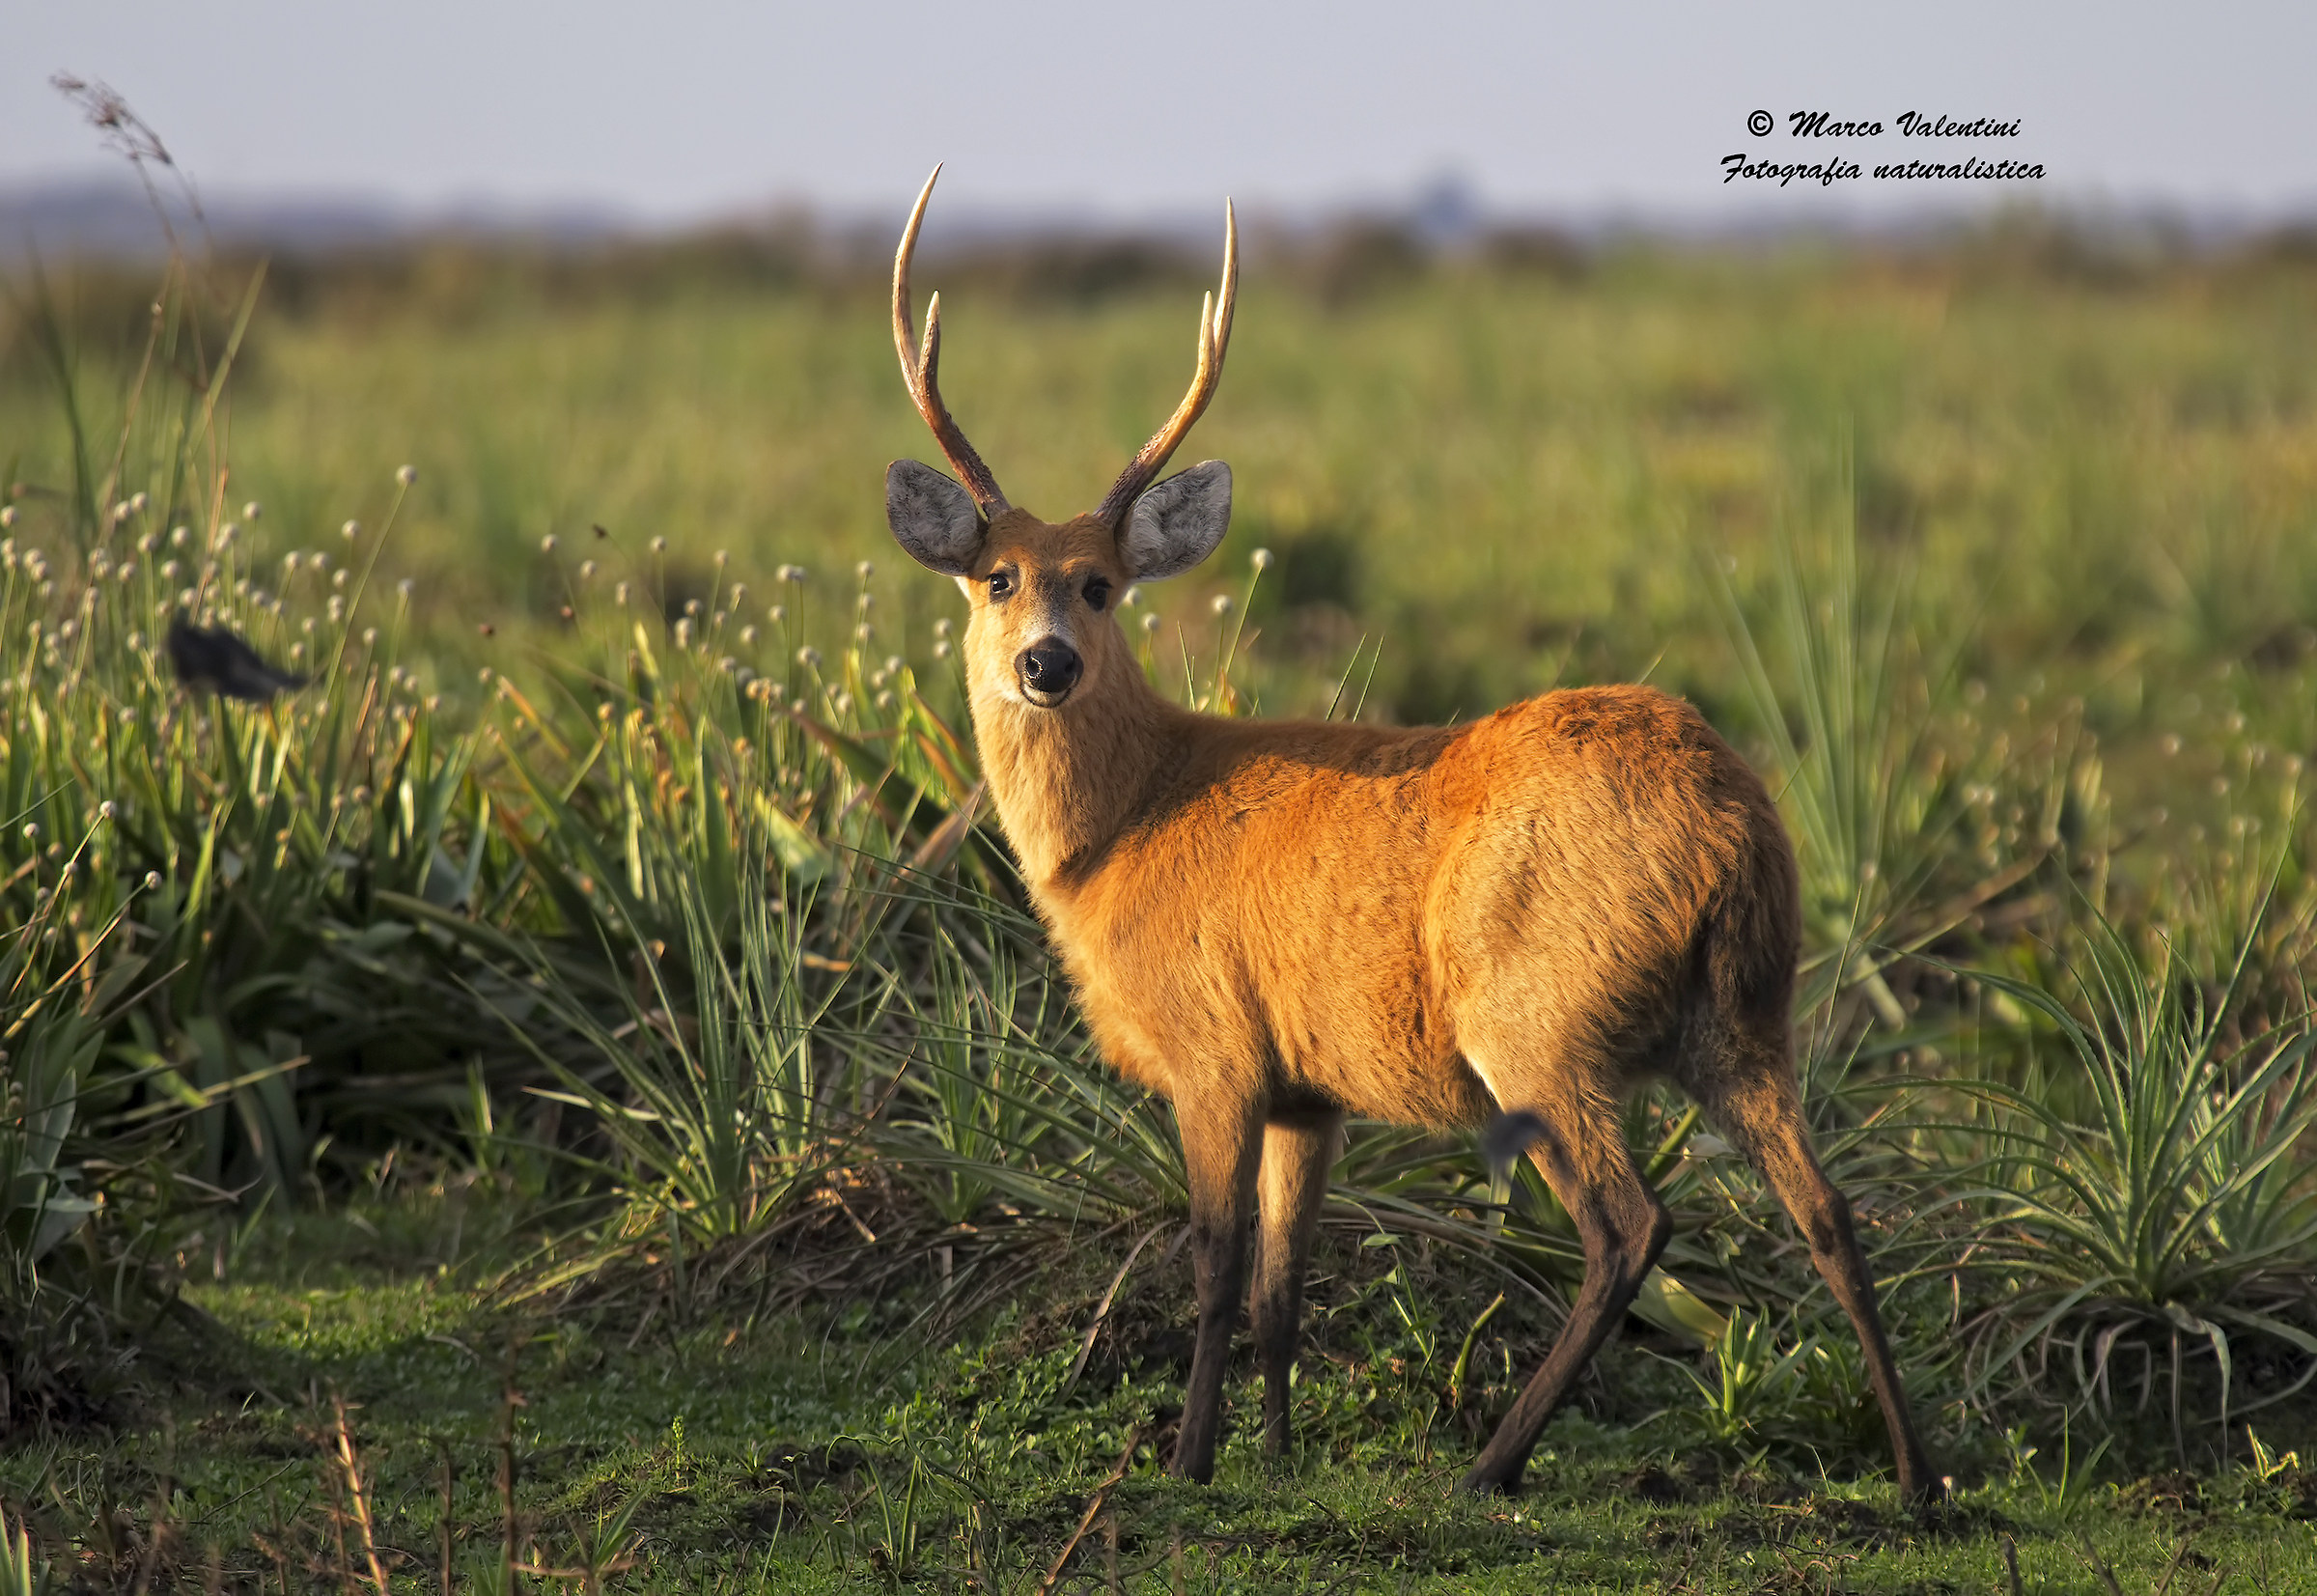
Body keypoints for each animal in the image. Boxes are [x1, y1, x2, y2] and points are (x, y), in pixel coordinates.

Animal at [878, 166, 1939, 1502]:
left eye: (1102, 585)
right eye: (997, 578)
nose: (1047, 666)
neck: (1127, 825)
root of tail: (1729, 819)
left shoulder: (1216, 1048)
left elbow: (1215, 1265)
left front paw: (1189, 1463)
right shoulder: (1307, 1090)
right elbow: (1284, 1283)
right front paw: (1277, 1457)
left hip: (1535, 1018)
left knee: (1629, 1226)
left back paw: (1490, 1465)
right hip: (1745, 1016)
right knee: (1829, 1211)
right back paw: (1921, 1480)